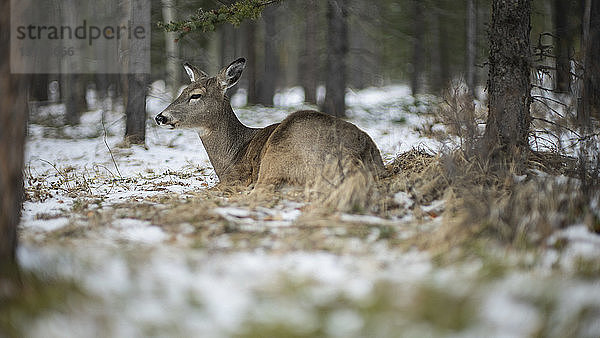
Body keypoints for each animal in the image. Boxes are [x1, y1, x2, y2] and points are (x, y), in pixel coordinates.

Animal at [155, 58, 386, 193]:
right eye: (182, 91)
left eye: (196, 95)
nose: (160, 117)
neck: (231, 155)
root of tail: (359, 154)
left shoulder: (236, 177)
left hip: (280, 150)